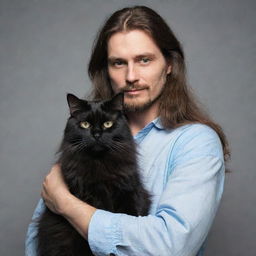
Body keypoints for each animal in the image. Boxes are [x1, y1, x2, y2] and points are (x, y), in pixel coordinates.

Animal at [37, 93, 151, 256]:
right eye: (85, 125)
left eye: (108, 124)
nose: (97, 134)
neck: (100, 163)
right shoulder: (91, 195)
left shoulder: (129, 190)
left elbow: (131, 213)